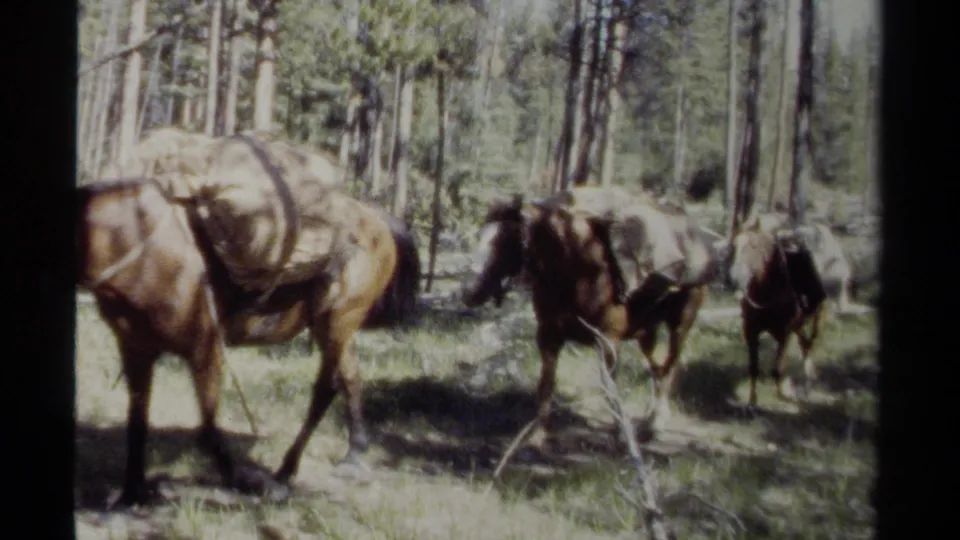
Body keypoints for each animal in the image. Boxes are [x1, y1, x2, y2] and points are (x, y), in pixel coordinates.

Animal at [75, 177, 419, 508]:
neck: (141, 247)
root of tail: (374, 219)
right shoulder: (136, 351)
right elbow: (137, 422)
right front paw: (131, 493)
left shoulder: (205, 348)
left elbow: (208, 429)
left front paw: (244, 481)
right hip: (335, 329)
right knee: (347, 380)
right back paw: (336, 458)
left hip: (338, 322)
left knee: (328, 388)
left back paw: (295, 469)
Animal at [460, 192, 720, 452]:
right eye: (480, 235)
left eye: (505, 240)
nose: (469, 292)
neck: (577, 271)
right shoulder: (548, 336)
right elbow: (546, 385)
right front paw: (538, 437)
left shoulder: (607, 341)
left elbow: (610, 389)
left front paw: (621, 436)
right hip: (646, 332)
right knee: (658, 368)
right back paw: (651, 418)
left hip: (680, 324)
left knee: (670, 364)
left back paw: (657, 422)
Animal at [726, 222, 829, 408]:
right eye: (734, 246)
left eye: (754, 246)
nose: (733, 278)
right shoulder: (751, 331)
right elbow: (754, 367)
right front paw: (752, 403)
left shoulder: (784, 334)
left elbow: (777, 369)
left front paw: (784, 395)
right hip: (798, 326)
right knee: (805, 344)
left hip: (817, 320)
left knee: (811, 345)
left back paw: (808, 384)